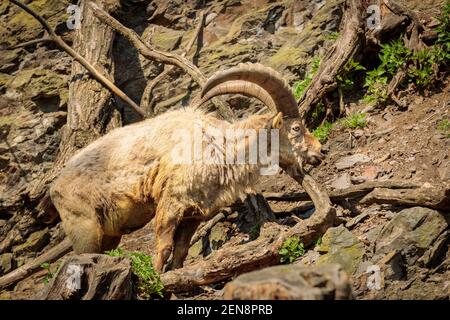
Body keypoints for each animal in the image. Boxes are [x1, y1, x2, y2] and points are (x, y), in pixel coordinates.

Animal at [4, 63, 324, 278]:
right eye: (296, 129)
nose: (320, 152)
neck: (217, 146)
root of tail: (54, 187)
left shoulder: (195, 213)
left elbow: (180, 250)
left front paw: (175, 275)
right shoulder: (171, 202)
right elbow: (164, 245)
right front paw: (157, 277)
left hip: (109, 233)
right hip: (83, 225)